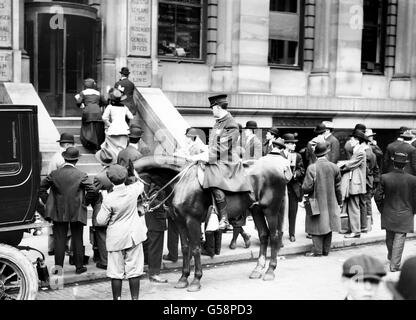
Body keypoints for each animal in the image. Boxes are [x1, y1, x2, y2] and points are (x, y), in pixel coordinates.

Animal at [135, 155, 288, 292]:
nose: (138, 210)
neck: (182, 181)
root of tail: (280, 169)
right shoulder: (180, 222)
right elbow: (185, 248)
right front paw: (183, 278)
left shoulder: (193, 221)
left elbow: (195, 248)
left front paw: (196, 280)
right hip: (256, 209)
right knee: (263, 235)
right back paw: (257, 269)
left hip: (270, 210)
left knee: (274, 235)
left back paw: (270, 270)